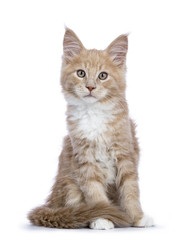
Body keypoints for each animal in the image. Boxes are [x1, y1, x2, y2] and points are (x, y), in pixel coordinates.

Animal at [28, 27, 153, 230]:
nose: (90, 87)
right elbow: (95, 193)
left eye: (103, 75)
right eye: (81, 73)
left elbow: (131, 190)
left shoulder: (125, 153)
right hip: (69, 182)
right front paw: (102, 218)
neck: (94, 113)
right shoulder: (84, 159)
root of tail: (52, 202)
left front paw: (138, 217)